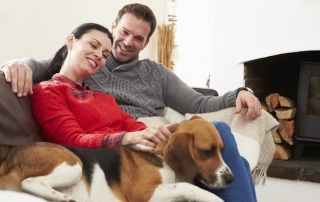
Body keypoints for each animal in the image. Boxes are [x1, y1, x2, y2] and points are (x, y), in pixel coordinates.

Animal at [0, 115, 235, 202]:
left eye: (222, 150)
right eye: (208, 151)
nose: (231, 179)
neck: (160, 156)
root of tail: (10, 156)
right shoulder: (145, 193)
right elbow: (187, 187)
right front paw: (213, 198)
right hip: (73, 164)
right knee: (29, 182)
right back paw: (64, 198)